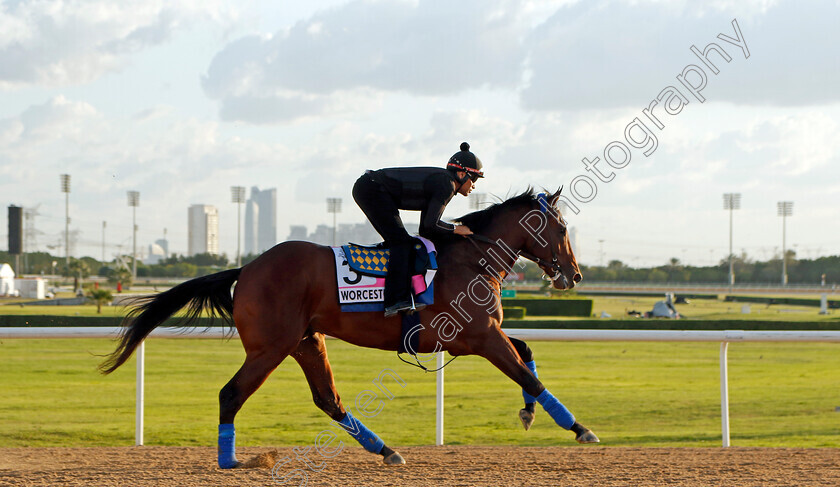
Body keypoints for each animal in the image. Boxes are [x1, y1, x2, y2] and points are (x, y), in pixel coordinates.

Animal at [100, 188, 596, 468]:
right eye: (562, 228)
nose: (573, 274)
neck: (471, 258)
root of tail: (248, 267)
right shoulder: (478, 336)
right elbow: (528, 373)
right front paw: (579, 428)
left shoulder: (478, 336)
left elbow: (527, 356)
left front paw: (530, 413)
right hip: (270, 347)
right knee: (231, 394)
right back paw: (230, 461)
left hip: (306, 341)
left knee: (328, 400)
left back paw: (386, 450)